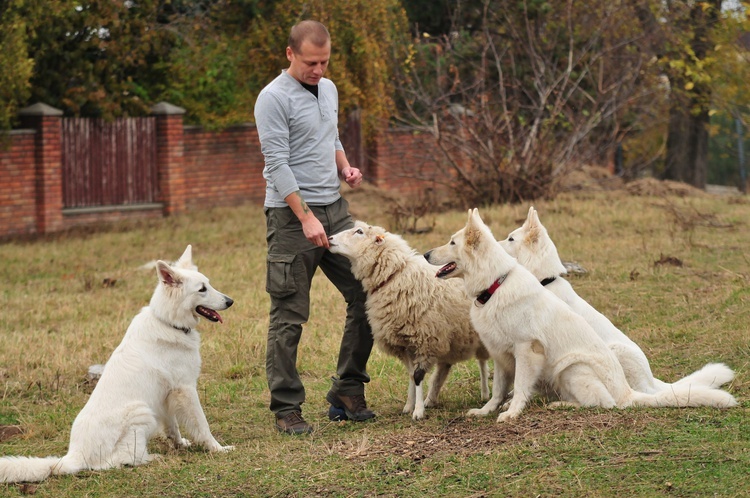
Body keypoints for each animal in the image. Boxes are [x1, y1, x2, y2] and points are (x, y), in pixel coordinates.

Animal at [0, 245, 235, 482]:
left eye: (209, 284)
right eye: (202, 289)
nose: (230, 301)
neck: (168, 322)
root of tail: (73, 456)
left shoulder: (166, 396)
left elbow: (173, 427)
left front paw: (180, 444)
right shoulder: (185, 389)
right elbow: (202, 425)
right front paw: (217, 448)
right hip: (141, 412)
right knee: (120, 460)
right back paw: (152, 458)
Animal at [328, 223, 488, 420]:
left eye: (359, 232)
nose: (329, 239)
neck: (396, 276)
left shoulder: (426, 340)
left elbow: (418, 376)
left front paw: (418, 412)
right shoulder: (405, 344)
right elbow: (412, 375)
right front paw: (409, 405)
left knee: (483, 361)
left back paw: (488, 393)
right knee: (449, 366)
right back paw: (434, 398)